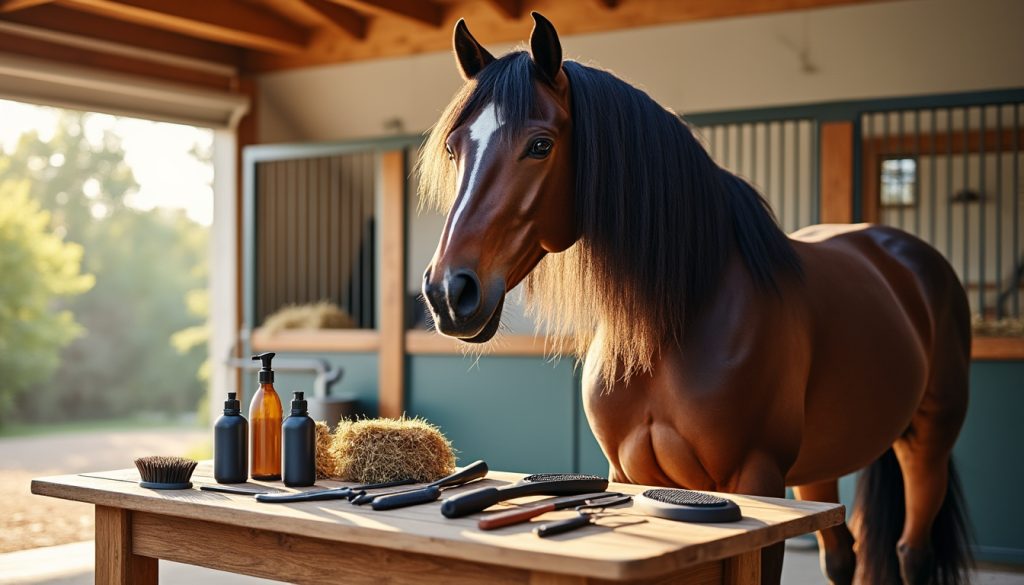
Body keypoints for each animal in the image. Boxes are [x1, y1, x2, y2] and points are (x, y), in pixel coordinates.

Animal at [419, 13, 972, 585]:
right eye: (454, 149)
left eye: (540, 145)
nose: (448, 292)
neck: (681, 315)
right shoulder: (627, 472)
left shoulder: (758, 480)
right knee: (843, 556)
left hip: (930, 440)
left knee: (912, 551)